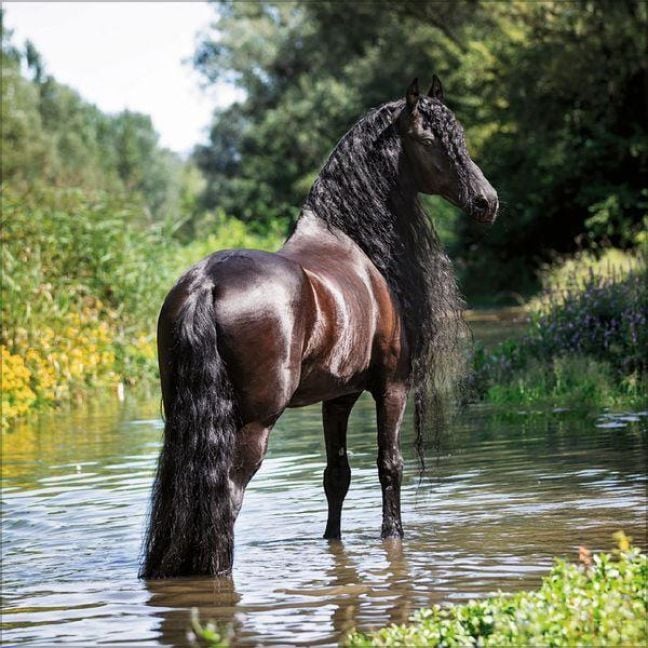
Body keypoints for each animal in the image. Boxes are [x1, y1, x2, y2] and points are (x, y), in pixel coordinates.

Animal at [140, 77, 498, 579]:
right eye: (430, 141)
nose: (487, 201)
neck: (355, 243)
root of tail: (206, 283)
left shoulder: (338, 396)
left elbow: (337, 476)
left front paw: (333, 542)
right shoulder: (391, 386)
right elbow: (389, 465)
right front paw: (393, 536)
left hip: (181, 417)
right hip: (253, 424)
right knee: (227, 496)